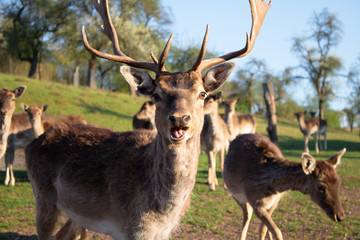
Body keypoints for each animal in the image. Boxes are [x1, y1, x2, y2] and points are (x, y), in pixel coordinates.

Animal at [25, 0, 270, 239]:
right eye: (156, 95)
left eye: (202, 94)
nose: (180, 118)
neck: (160, 213)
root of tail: (35, 142)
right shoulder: (131, 229)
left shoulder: (163, 232)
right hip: (42, 196)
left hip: (76, 214)